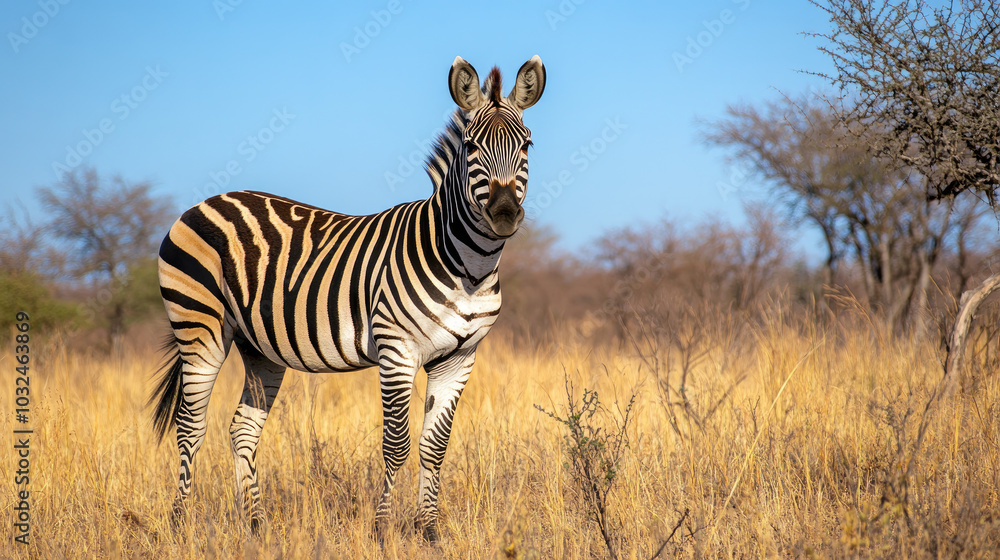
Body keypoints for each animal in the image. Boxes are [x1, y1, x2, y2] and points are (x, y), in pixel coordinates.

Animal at [150, 55, 545, 541]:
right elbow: (396, 444)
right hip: (199, 326)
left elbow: (434, 447)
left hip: (259, 346)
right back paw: (179, 523)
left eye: (527, 145)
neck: (469, 265)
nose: (504, 214)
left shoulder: (459, 357)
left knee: (242, 428)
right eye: (471, 146)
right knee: (190, 426)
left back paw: (256, 525)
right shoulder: (397, 349)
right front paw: (381, 529)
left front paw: (429, 531)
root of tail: (206, 202)